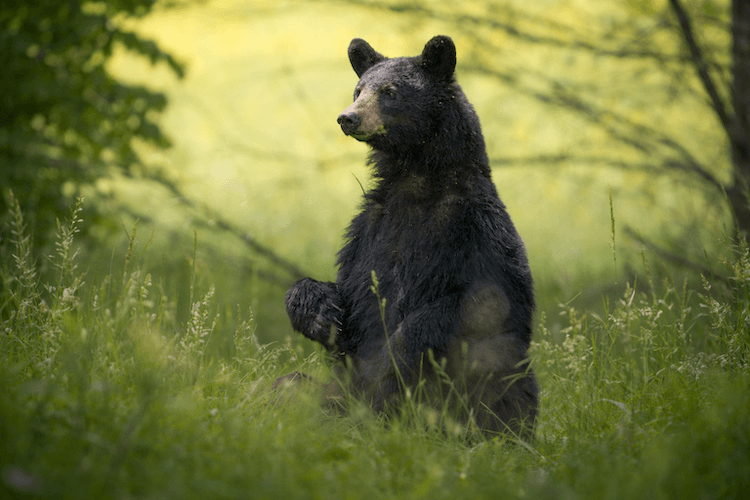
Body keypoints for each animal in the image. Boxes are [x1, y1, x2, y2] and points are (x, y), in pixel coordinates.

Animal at [283, 35, 538, 437]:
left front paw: (394, 352)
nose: (347, 117)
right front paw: (320, 313)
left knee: (503, 388)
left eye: (389, 92)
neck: (415, 178)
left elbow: (485, 299)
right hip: (334, 395)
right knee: (288, 387)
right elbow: (348, 289)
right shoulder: (368, 231)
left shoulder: (475, 226)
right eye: (358, 89)